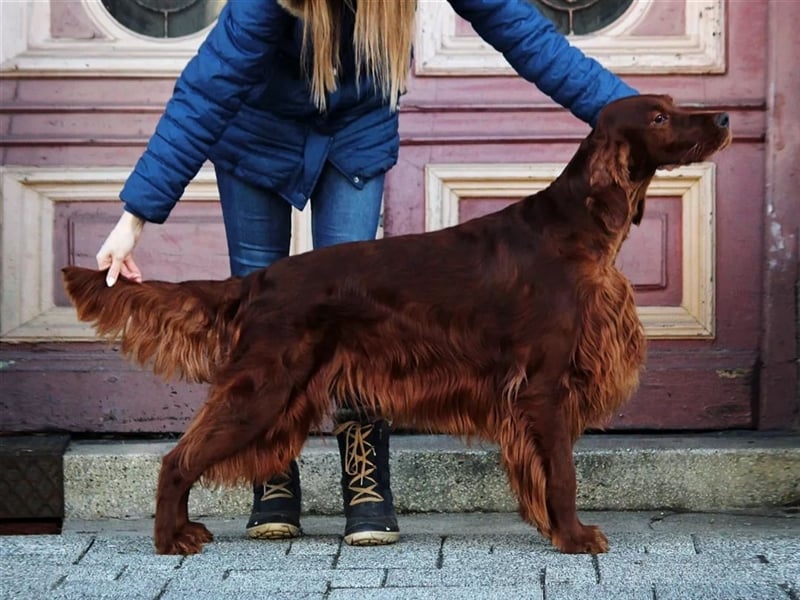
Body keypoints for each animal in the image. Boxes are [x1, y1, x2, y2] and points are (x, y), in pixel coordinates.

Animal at [64, 96, 732, 556]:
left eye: (675, 104)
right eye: (660, 117)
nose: (724, 118)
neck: (574, 230)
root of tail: (260, 281)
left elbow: (547, 473)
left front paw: (552, 529)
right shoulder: (545, 385)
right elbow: (564, 473)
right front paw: (574, 537)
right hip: (264, 388)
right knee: (177, 459)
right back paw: (170, 538)